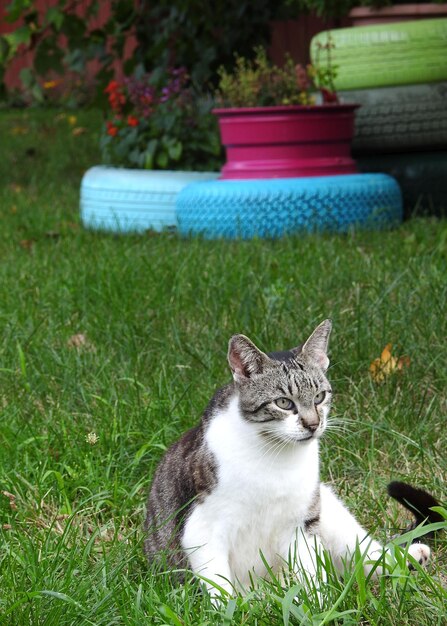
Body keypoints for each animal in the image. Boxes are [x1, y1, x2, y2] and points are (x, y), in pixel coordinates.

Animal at [145, 320, 432, 596]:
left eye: (319, 397)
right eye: (284, 402)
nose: (313, 424)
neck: (274, 458)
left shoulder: (302, 524)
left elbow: (312, 577)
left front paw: (319, 604)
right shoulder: (201, 530)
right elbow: (221, 589)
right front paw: (233, 608)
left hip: (329, 508)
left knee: (363, 557)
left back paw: (407, 557)